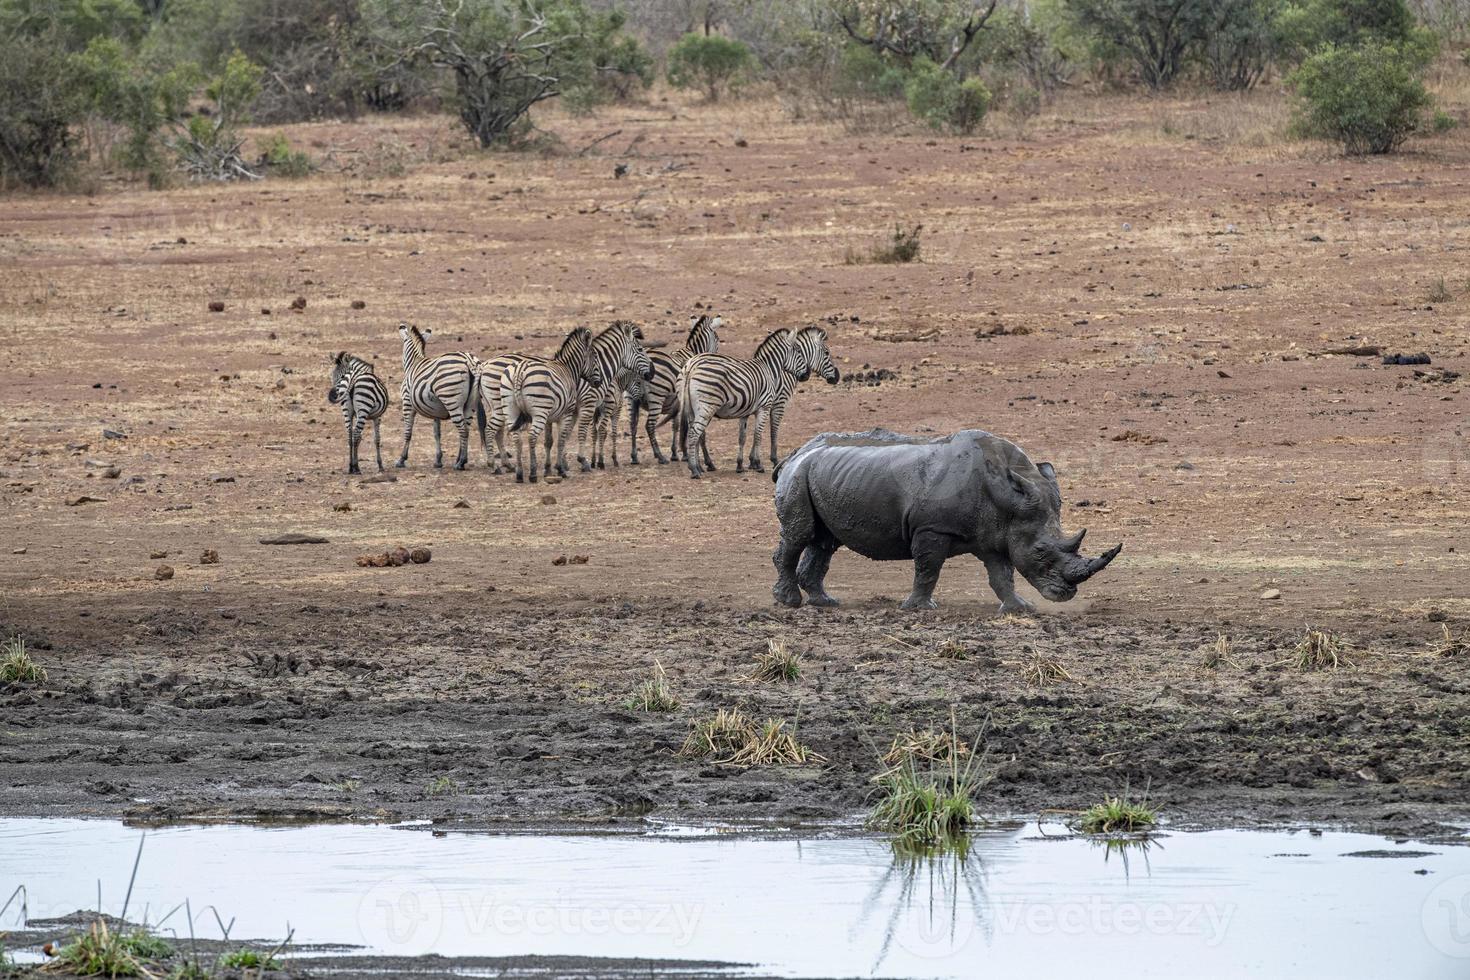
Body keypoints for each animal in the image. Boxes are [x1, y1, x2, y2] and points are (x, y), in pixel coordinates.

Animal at [393, 323, 479, 473]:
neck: (413, 363)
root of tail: (468, 360)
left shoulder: (407, 403)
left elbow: (408, 432)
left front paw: (401, 459)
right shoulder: (435, 410)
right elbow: (437, 433)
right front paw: (438, 460)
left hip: (451, 399)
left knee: (463, 430)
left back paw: (461, 462)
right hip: (470, 404)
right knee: (466, 429)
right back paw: (460, 459)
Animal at [502, 327, 599, 484]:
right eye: (595, 356)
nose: (598, 382)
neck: (568, 368)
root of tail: (520, 371)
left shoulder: (549, 417)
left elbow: (549, 441)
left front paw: (548, 470)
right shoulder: (566, 413)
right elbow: (561, 439)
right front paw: (561, 470)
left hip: (510, 409)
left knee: (517, 438)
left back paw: (519, 474)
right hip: (539, 411)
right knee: (532, 436)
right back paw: (532, 473)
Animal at [570, 321, 652, 470]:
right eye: (640, 349)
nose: (640, 400)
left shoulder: (595, 409)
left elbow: (595, 432)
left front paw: (594, 459)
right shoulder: (614, 409)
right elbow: (612, 432)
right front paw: (612, 459)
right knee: (600, 429)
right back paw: (598, 461)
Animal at [623, 314, 720, 467]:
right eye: (717, 338)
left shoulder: (677, 404)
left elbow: (675, 426)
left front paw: (675, 453)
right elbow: (684, 428)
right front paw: (687, 455)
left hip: (629, 397)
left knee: (633, 424)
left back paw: (634, 457)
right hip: (656, 397)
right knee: (649, 426)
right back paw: (660, 456)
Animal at [673, 327, 805, 481]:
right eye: (798, 350)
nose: (807, 374)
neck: (769, 369)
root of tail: (691, 366)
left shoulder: (745, 411)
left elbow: (742, 437)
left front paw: (740, 465)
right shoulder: (764, 407)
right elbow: (758, 435)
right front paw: (758, 464)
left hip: (691, 408)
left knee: (695, 433)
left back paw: (698, 467)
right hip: (707, 406)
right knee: (694, 433)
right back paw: (694, 469)